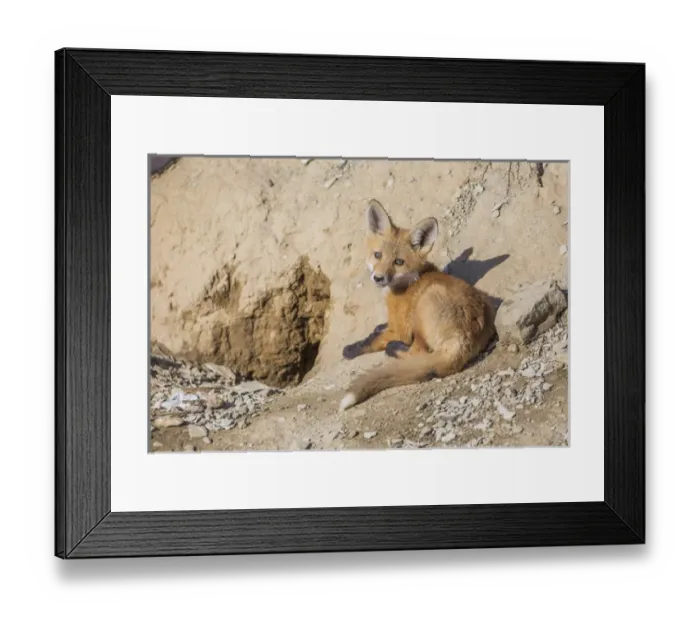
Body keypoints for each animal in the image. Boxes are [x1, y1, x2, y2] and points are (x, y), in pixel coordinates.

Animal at [339, 199, 496, 411]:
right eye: (378, 255)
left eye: (398, 262)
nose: (378, 278)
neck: (409, 281)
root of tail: (466, 337)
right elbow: (377, 331)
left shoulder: (400, 329)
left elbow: (372, 341)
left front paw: (352, 349)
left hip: (424, 305)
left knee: (418, 353)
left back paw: (393, 348)